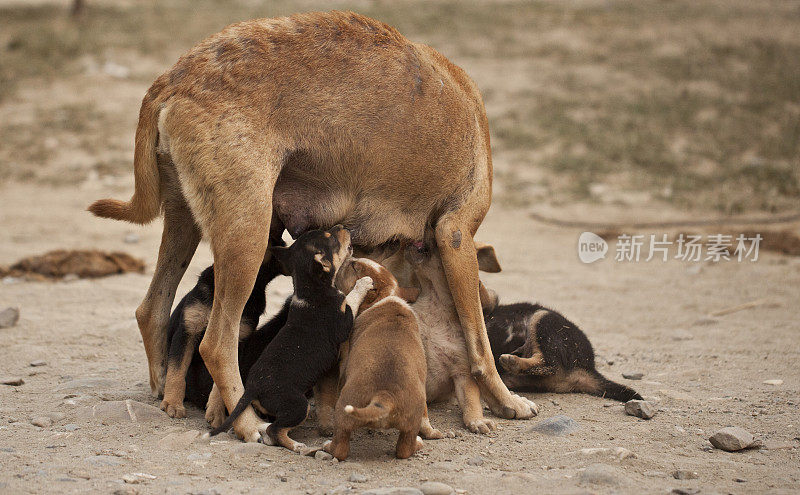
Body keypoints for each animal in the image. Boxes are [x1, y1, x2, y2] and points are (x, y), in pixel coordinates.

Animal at [160, 237, 288, 418]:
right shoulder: (187, 330)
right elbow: (176, 371)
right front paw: (173, 404)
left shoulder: (237, 341)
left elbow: (223, 377)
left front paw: (216, 410)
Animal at [208, 227, 374, 452]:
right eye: (331, 238)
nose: (344, 227)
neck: (311, 290)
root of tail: (252, 387)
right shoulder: (343, 322)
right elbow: (351, 299)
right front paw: (363, 283)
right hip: (298, 405)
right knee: (275, 430)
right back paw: (298, 447)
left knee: (272, 432)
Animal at [322, 260, 440, 462]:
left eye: (354, 267)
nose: (348, 258)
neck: (387, 296)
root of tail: (385, 396)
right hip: (412, 420)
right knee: (405, 449)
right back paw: (420, 441)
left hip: (344, 412)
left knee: (341, 448)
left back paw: (327, 446)